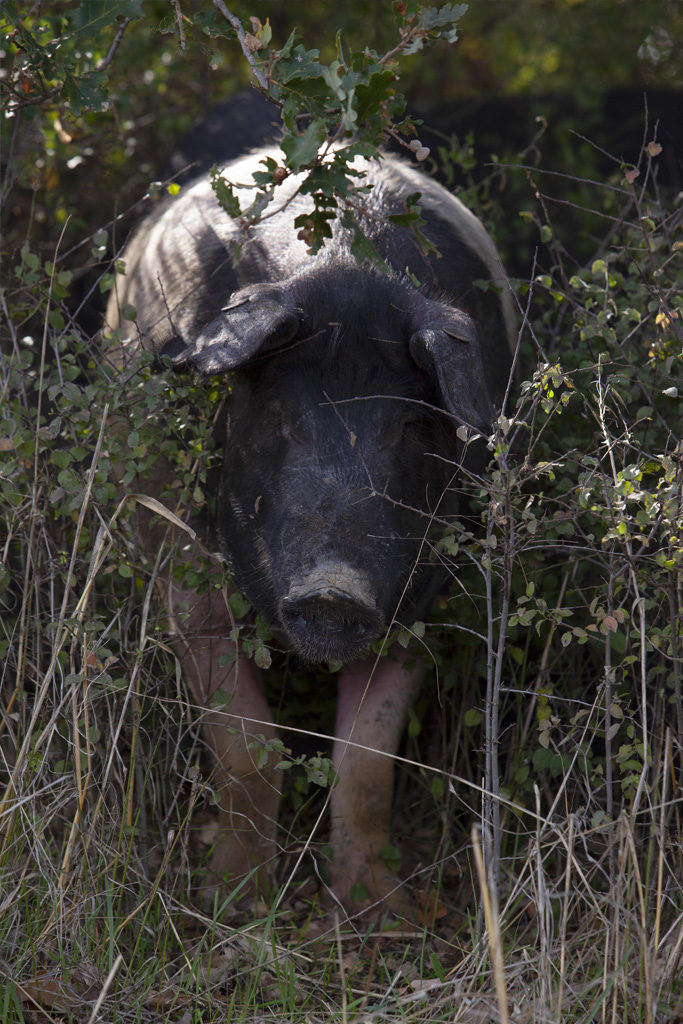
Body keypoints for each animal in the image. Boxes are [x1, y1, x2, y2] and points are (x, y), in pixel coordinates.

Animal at [105, 101, 511, 921]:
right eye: (281, 418)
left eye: (408, 426)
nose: (333, 587)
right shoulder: (172, 546)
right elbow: (244, 740)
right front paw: (230, 901)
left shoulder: (427, 584)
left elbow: (366, 754)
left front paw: (382, 920)